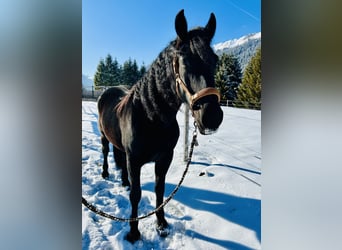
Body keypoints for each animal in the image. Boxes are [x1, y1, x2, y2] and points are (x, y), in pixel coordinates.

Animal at [97, 9, 223, 242]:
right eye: (184, 60)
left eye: (215, 60)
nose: (211, 117)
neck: (151, 117)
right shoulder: (135, 161)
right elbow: (136, 195)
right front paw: (133, 232)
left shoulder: (164, 158)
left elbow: (159, 190)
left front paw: (162, 224)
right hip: (103, 137)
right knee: (105, 153)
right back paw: (106, 174)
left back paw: (124, 181)